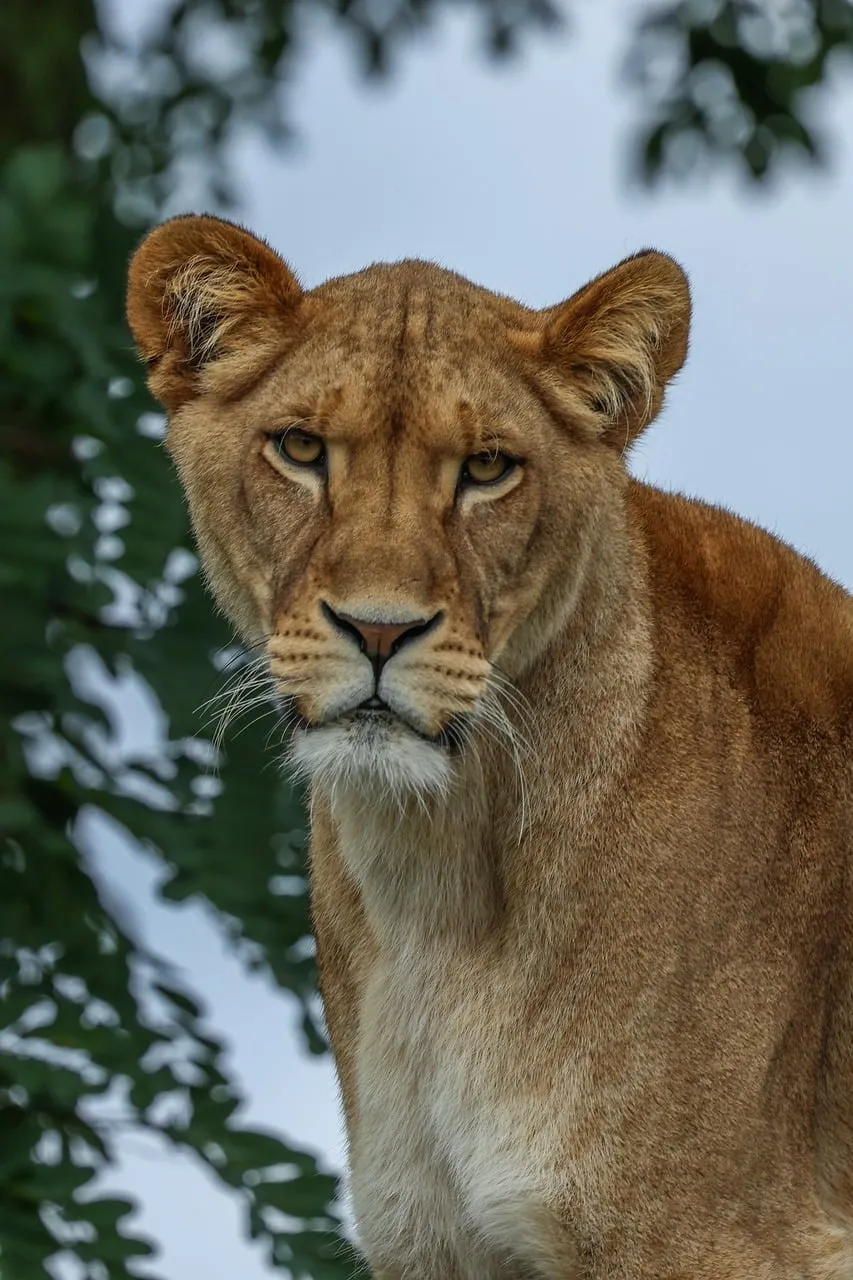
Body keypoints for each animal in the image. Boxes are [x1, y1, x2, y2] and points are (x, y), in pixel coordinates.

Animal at [127, 214, 853, 1279]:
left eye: (485, 469)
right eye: (300, 448)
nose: (378, 630)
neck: (440, 876)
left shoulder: (705, 1234)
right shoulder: (434, 1239)